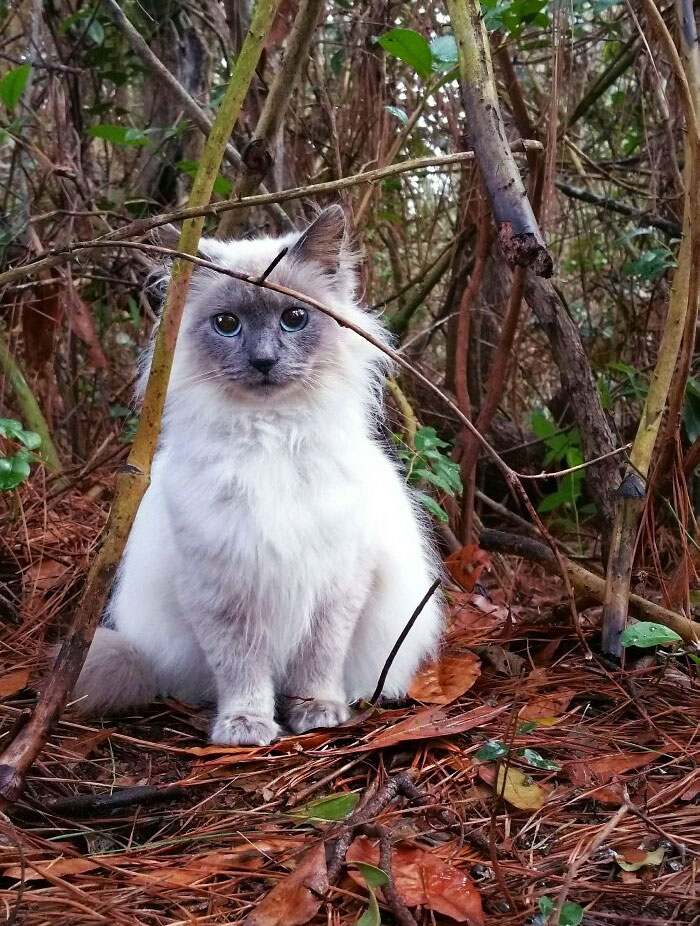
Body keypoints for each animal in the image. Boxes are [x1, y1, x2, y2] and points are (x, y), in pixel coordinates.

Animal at [72, 205, 442, 748]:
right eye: (227, 324)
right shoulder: (220, 590)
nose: (263, 361)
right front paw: (246, 726)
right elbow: (242, 670)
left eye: (295, 318)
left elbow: (318, 662)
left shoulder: (337, 584)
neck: (271, 439)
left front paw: (317, 713)